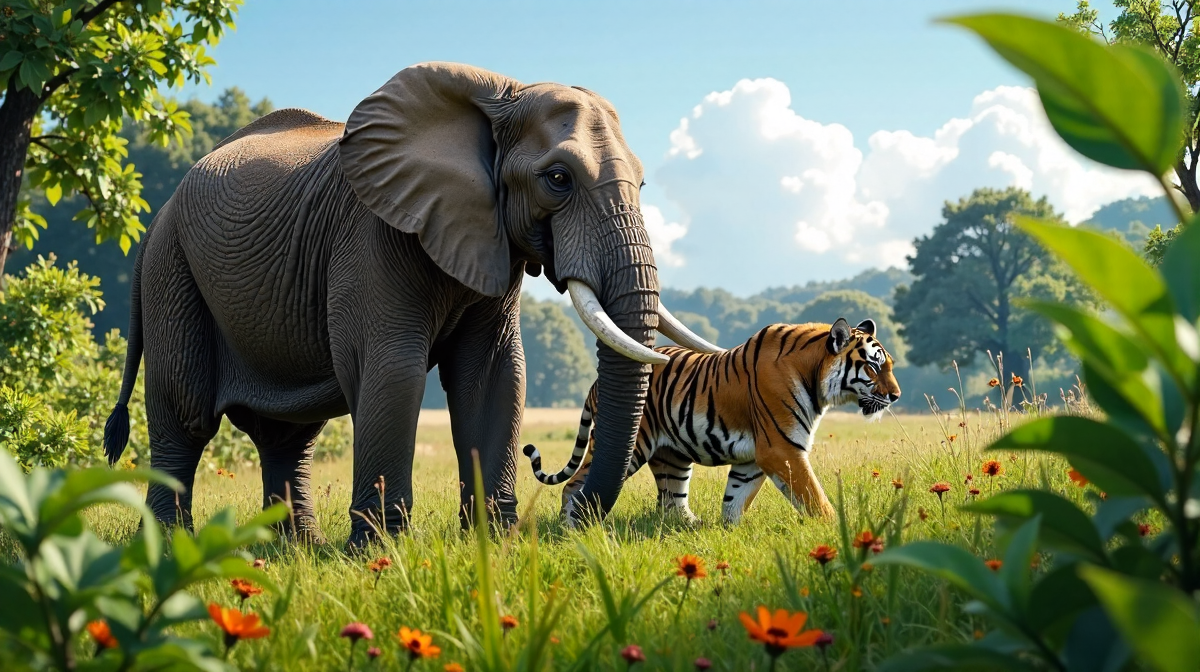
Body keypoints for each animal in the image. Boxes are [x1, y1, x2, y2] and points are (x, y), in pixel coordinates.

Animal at [102, 62, 721, 547]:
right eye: (558, 179)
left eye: (643, 182)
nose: (576, 516)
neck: (500, 96)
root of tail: (156, 216)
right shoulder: (373, 236)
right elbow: (394, 370)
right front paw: (381, 552)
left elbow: (495, 375)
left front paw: (494, 543)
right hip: (173, 274)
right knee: (184, 416)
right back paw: (173, 549)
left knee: (287, 434)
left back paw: (297, 548)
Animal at [522, 317, 900, 524]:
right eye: (873, 366)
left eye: (890, 364)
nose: (896, 395)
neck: (815, 375)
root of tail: (597, 383)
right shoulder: (782, 449)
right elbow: (815, 498)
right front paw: (835, 531)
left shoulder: (755, 458)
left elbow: (736, 500)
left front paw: (729, 532)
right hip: (631, 445)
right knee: (574, 485)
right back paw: (570, 529)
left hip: (672, 455)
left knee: (671, 499)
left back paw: (691, 526)